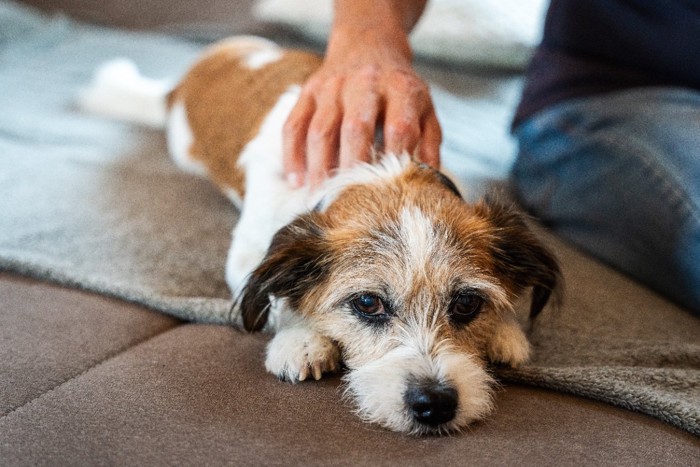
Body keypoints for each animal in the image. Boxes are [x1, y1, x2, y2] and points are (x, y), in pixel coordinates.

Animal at [82, 35, 560, 436]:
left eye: (466, 304)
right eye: (367, 303)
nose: (435, 404)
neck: (376, 168)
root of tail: (186, 79)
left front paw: (503, 331)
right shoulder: (250, 252)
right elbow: (275, 298)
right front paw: (301, 340)